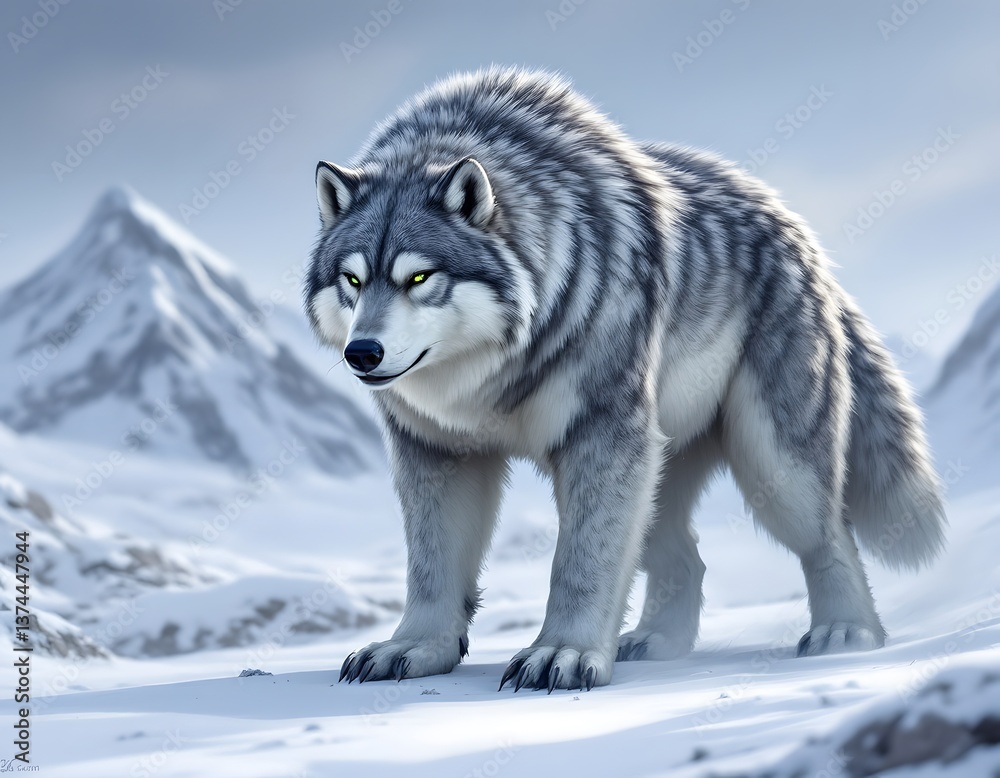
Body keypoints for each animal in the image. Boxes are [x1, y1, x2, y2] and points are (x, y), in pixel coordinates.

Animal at [305, 67, 946, 691]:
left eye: (418, 277)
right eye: (352, 280)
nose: (362, 353)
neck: (488, 378)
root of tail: (801, 234)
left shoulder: (603, 438)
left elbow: (581, 565)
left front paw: (560, 654)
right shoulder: (435, 450)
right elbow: (431, 568)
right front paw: (414, 647)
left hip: (771, 469)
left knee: (830, 536)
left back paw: (848, 634)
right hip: (655, 470)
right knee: (689, 558)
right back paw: (658, 643)